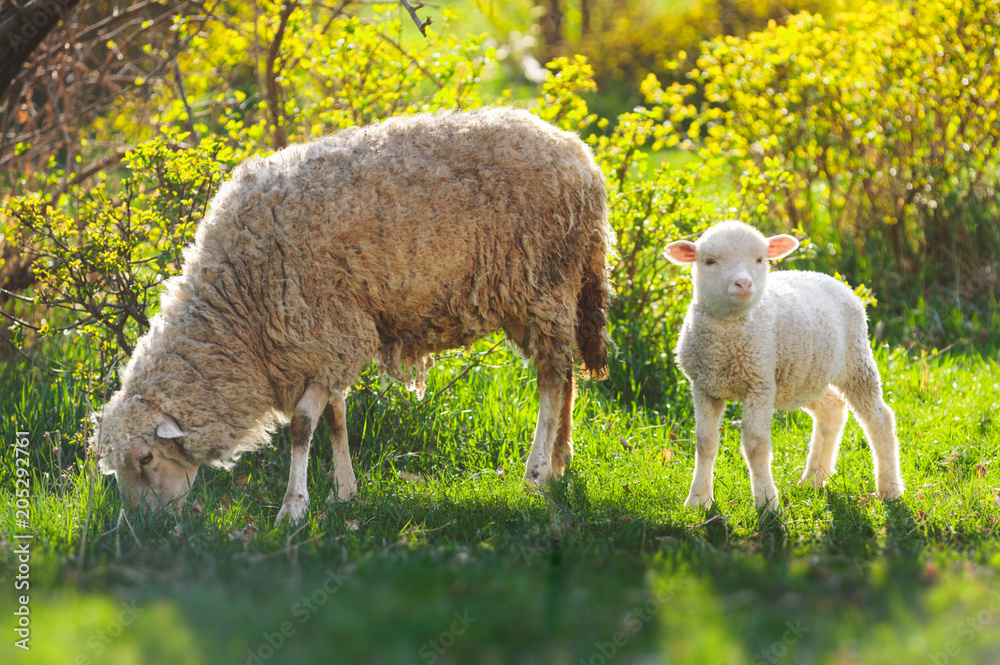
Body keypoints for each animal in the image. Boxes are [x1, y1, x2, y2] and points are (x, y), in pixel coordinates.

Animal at [92, 107, 608, 524]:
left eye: (144, 458)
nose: (140, 526)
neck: (240, 313)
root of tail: (580, 155)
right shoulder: (322, 341)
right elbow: (336, 418)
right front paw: (345, 493)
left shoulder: (327, 328)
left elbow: (302, 426)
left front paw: (293, 507)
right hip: (545, 292)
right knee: (564, 371)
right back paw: (560, 461)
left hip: (542, 281)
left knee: (550, 377)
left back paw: (536, 474)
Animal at [664, 220, 908, 510]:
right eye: (709, 261)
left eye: (760, 259)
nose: (743, 283)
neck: (724, 343)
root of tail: (832, 279)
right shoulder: (703, 386)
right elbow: (705, 442)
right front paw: (698, 500)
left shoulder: (759, 383)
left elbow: (755, 445)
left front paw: (766, 502)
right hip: (805, 375)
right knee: (832, 410)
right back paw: (814, 479)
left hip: (855, 360)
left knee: (879, 418)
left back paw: (889, 488)